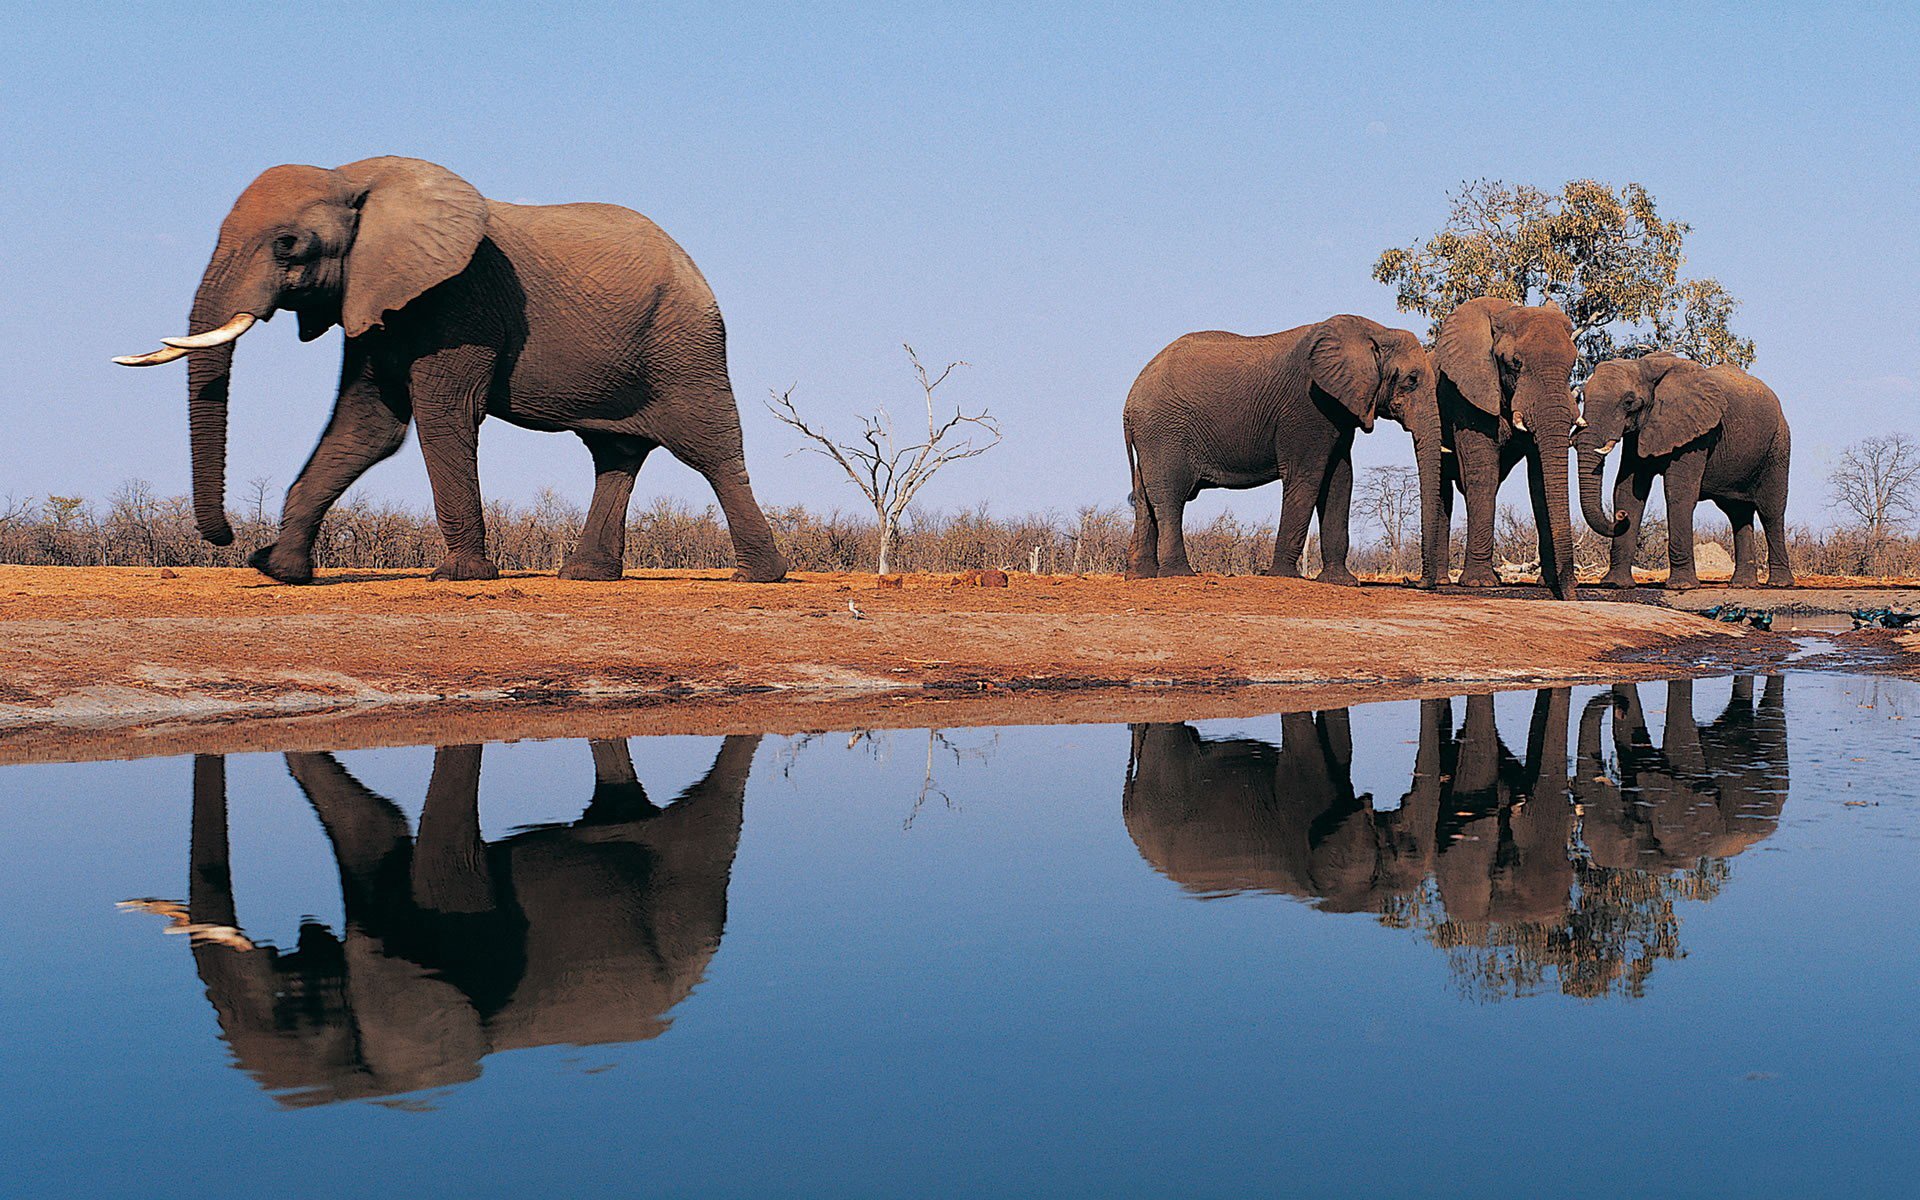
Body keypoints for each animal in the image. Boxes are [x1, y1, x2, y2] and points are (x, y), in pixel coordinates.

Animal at [115, 157, 788, 585]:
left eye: (288, 245)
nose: (227, 538)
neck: (355, 180)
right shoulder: (378, 299)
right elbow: (367, 426)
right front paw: (279, 571)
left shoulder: (458, 299)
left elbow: (443, 417)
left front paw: (460, 576)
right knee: (613, 453)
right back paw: (585, 577)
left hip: (687, 346)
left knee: (711, 449)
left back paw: (758, 578)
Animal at [1122, 314, 1445, 584]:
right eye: (1412, 380)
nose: (1411, 581)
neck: (1375, 331)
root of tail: (1130, 399)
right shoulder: (1307, 407)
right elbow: (1307, 478)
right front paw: (1282, 576)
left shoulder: (1340, 409)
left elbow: (1340, 480)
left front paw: (1340, 582)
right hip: (1165, 431)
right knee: (1171, 497)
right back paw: (1179, 575)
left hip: (1152, 437)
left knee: (1145, 497)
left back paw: (1141, 577)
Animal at [1432, 297, 1583, 598]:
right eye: (1515, 363)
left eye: (1573, 363)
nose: (1572, 593)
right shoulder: (1468, 394)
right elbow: (1483, 474)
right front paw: (1479, 583)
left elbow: (1539, 482)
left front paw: (1547, 583)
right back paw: (1444, 581)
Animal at [1575, 353, 1795, 589]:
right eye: (1583, 396)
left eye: (1628, 402)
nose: (1620, 516)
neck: (1643, 366)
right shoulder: (1639, 432)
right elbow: (1627, 490)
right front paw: (1615, 584)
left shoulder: (1696, 433)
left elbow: (1679, 492)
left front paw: (1682, 586)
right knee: (1738, 514)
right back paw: (1743, 585)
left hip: (1778, 446)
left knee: (1771, 511)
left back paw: (1780, 584)